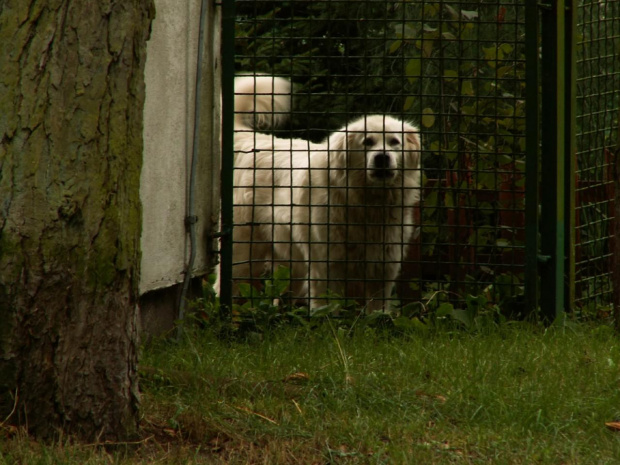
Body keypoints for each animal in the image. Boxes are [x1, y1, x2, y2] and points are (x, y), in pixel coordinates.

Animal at [228, 74, 422, 310]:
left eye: (395, 142)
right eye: (367, 142)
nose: (382, 157)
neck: (366, 202)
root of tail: (253, 140)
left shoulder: (381, 273)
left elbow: (378, 311)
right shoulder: (326, 269)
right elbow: (326, 309)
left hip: (290, 261)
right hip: (243, 253)